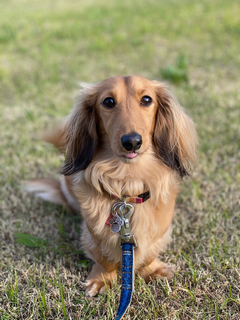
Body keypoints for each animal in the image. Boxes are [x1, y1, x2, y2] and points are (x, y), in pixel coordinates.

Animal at [25, 75, 197, 298]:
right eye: (108, 102)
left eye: (147, 100)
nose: (132, 142)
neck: (128, 184)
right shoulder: (95, 233)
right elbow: (104, 258)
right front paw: (102, 279)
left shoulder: (158, 229)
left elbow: (149, 254)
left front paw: (152, 270)